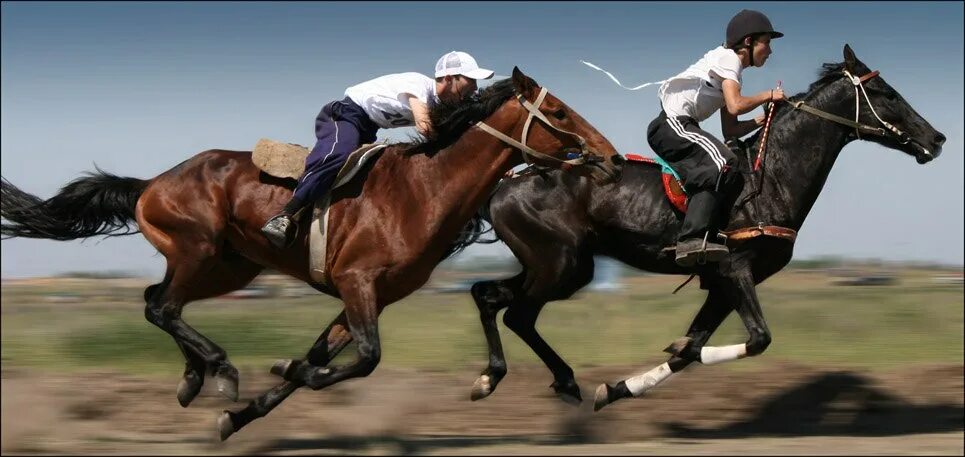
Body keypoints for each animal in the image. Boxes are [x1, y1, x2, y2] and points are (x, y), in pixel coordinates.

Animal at [0, 67, 624, 438]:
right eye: (560, 113)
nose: (611, 157)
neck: (423, 188)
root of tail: (150, 182)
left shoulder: (369, 297)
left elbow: (321, 357)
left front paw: (242, 415)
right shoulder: (358, 283)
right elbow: (362, 360)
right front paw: (271, 375)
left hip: (229, 267)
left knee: (161, 301)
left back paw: (194, 379)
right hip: (197, 250)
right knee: (162, 306)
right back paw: (219, 370)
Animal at [464, 45, 944, 410]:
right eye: (884, 92)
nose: (937, 139)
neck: (770, 177)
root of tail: (508, 180)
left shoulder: (721, 283)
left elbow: (692, 349)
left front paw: (619, 387)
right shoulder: (735, 270)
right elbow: (755, 339)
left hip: (554, 266)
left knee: (488, 295)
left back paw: (495, 377)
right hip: (562, 266)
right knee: (517, 313)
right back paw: (549, 380)